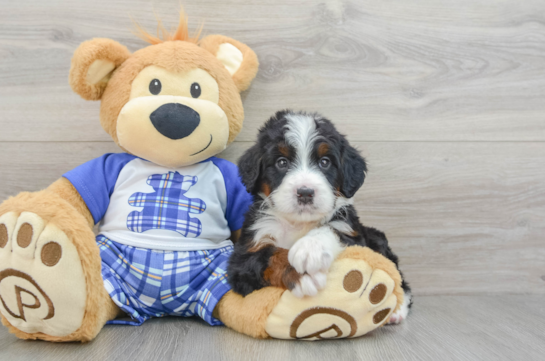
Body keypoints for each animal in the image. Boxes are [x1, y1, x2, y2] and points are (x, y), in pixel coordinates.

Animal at [227, 109, 410, 324]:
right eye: (282, 162)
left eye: (325, 162)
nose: (305, 192)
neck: (298, 224)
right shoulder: (244, 256)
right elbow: (269, 255)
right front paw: (301, 274)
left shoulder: (353, 234)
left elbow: (330, 228)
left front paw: (309, 249)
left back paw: (397, 310)